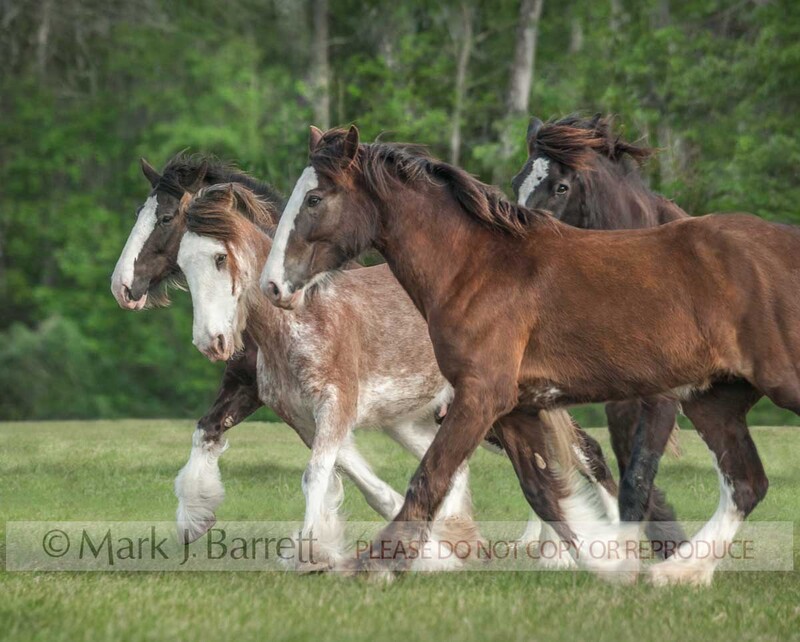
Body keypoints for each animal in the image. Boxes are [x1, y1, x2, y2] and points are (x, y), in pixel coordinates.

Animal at [111, 153, 623, 568]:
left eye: (165, 217)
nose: (122, 288)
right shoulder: (286, 403)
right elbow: (226, 437)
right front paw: (193, 520)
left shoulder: (311, 400)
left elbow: (329, 471)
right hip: (431, 417)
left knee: (583, 454)